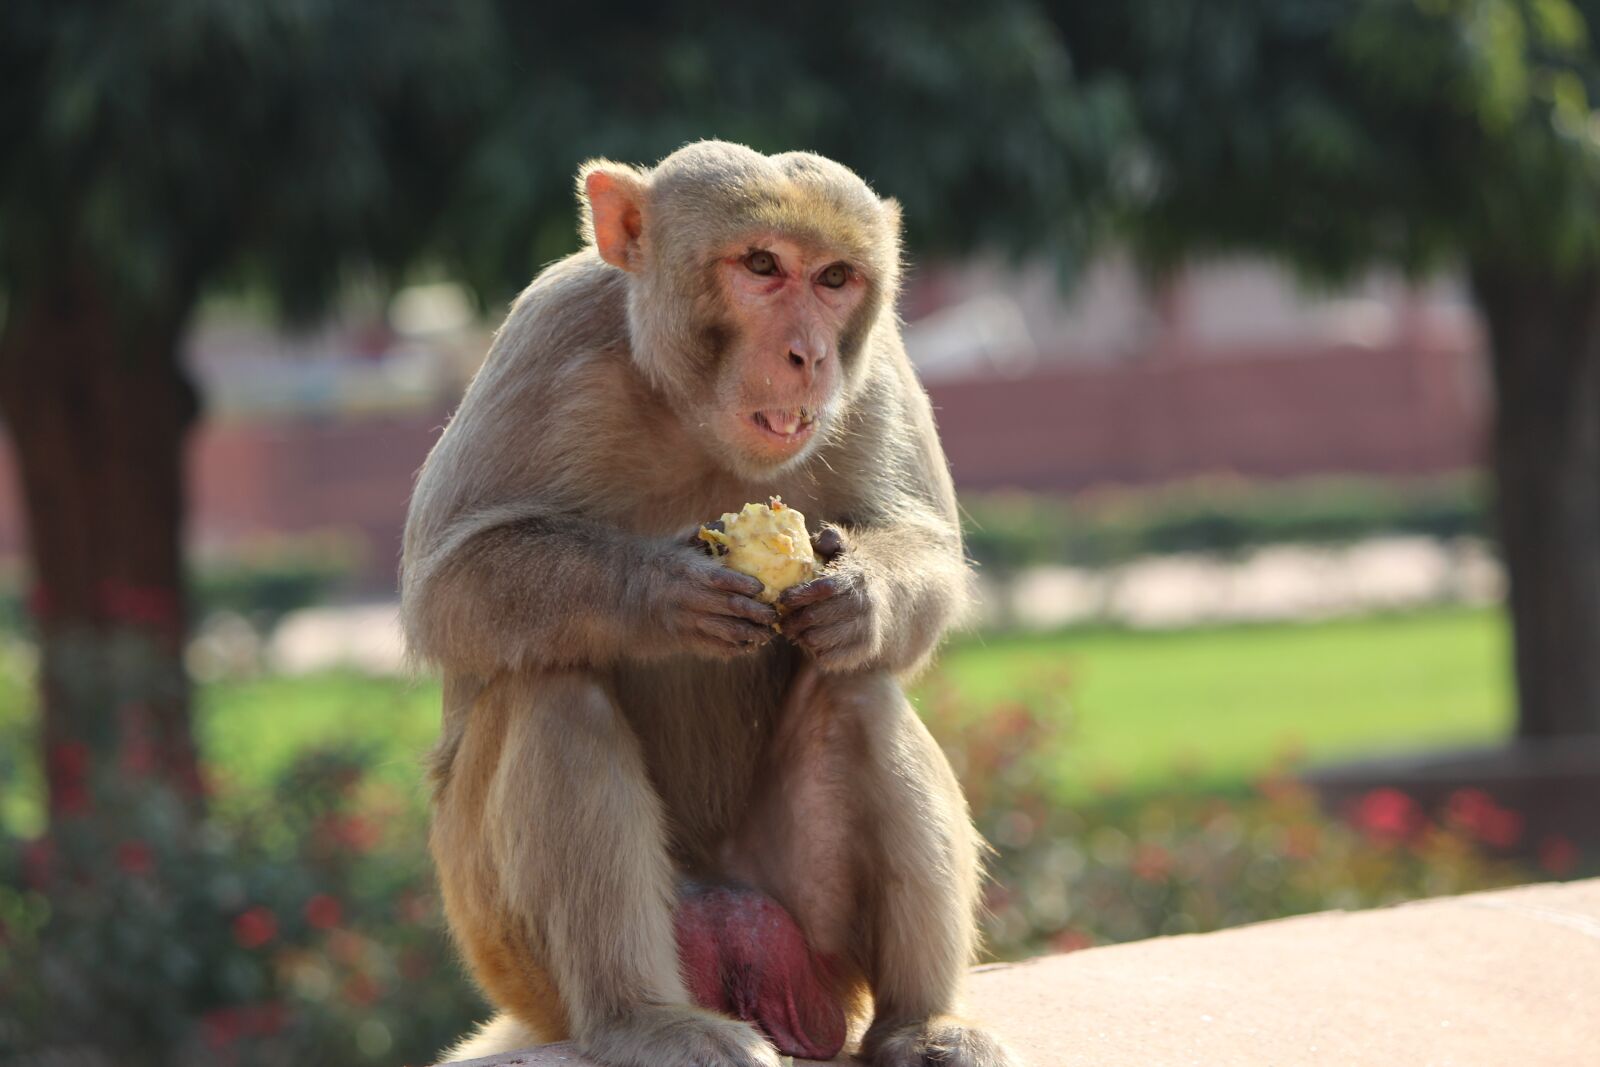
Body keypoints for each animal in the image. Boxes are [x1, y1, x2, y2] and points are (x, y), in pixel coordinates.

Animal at [400, 140, 1017, 1067]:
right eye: (761, 266)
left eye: (834, 278)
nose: (808, 354)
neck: (691, 418)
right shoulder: (548, 335)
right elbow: (447, 583)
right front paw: (660, 594)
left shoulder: (874, 370)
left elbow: (926, 554)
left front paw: (858, 597)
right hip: (508, 948)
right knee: (553, 691)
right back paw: (644, 1017)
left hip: (806, 936)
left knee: (857, 691)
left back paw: (919, 1021)